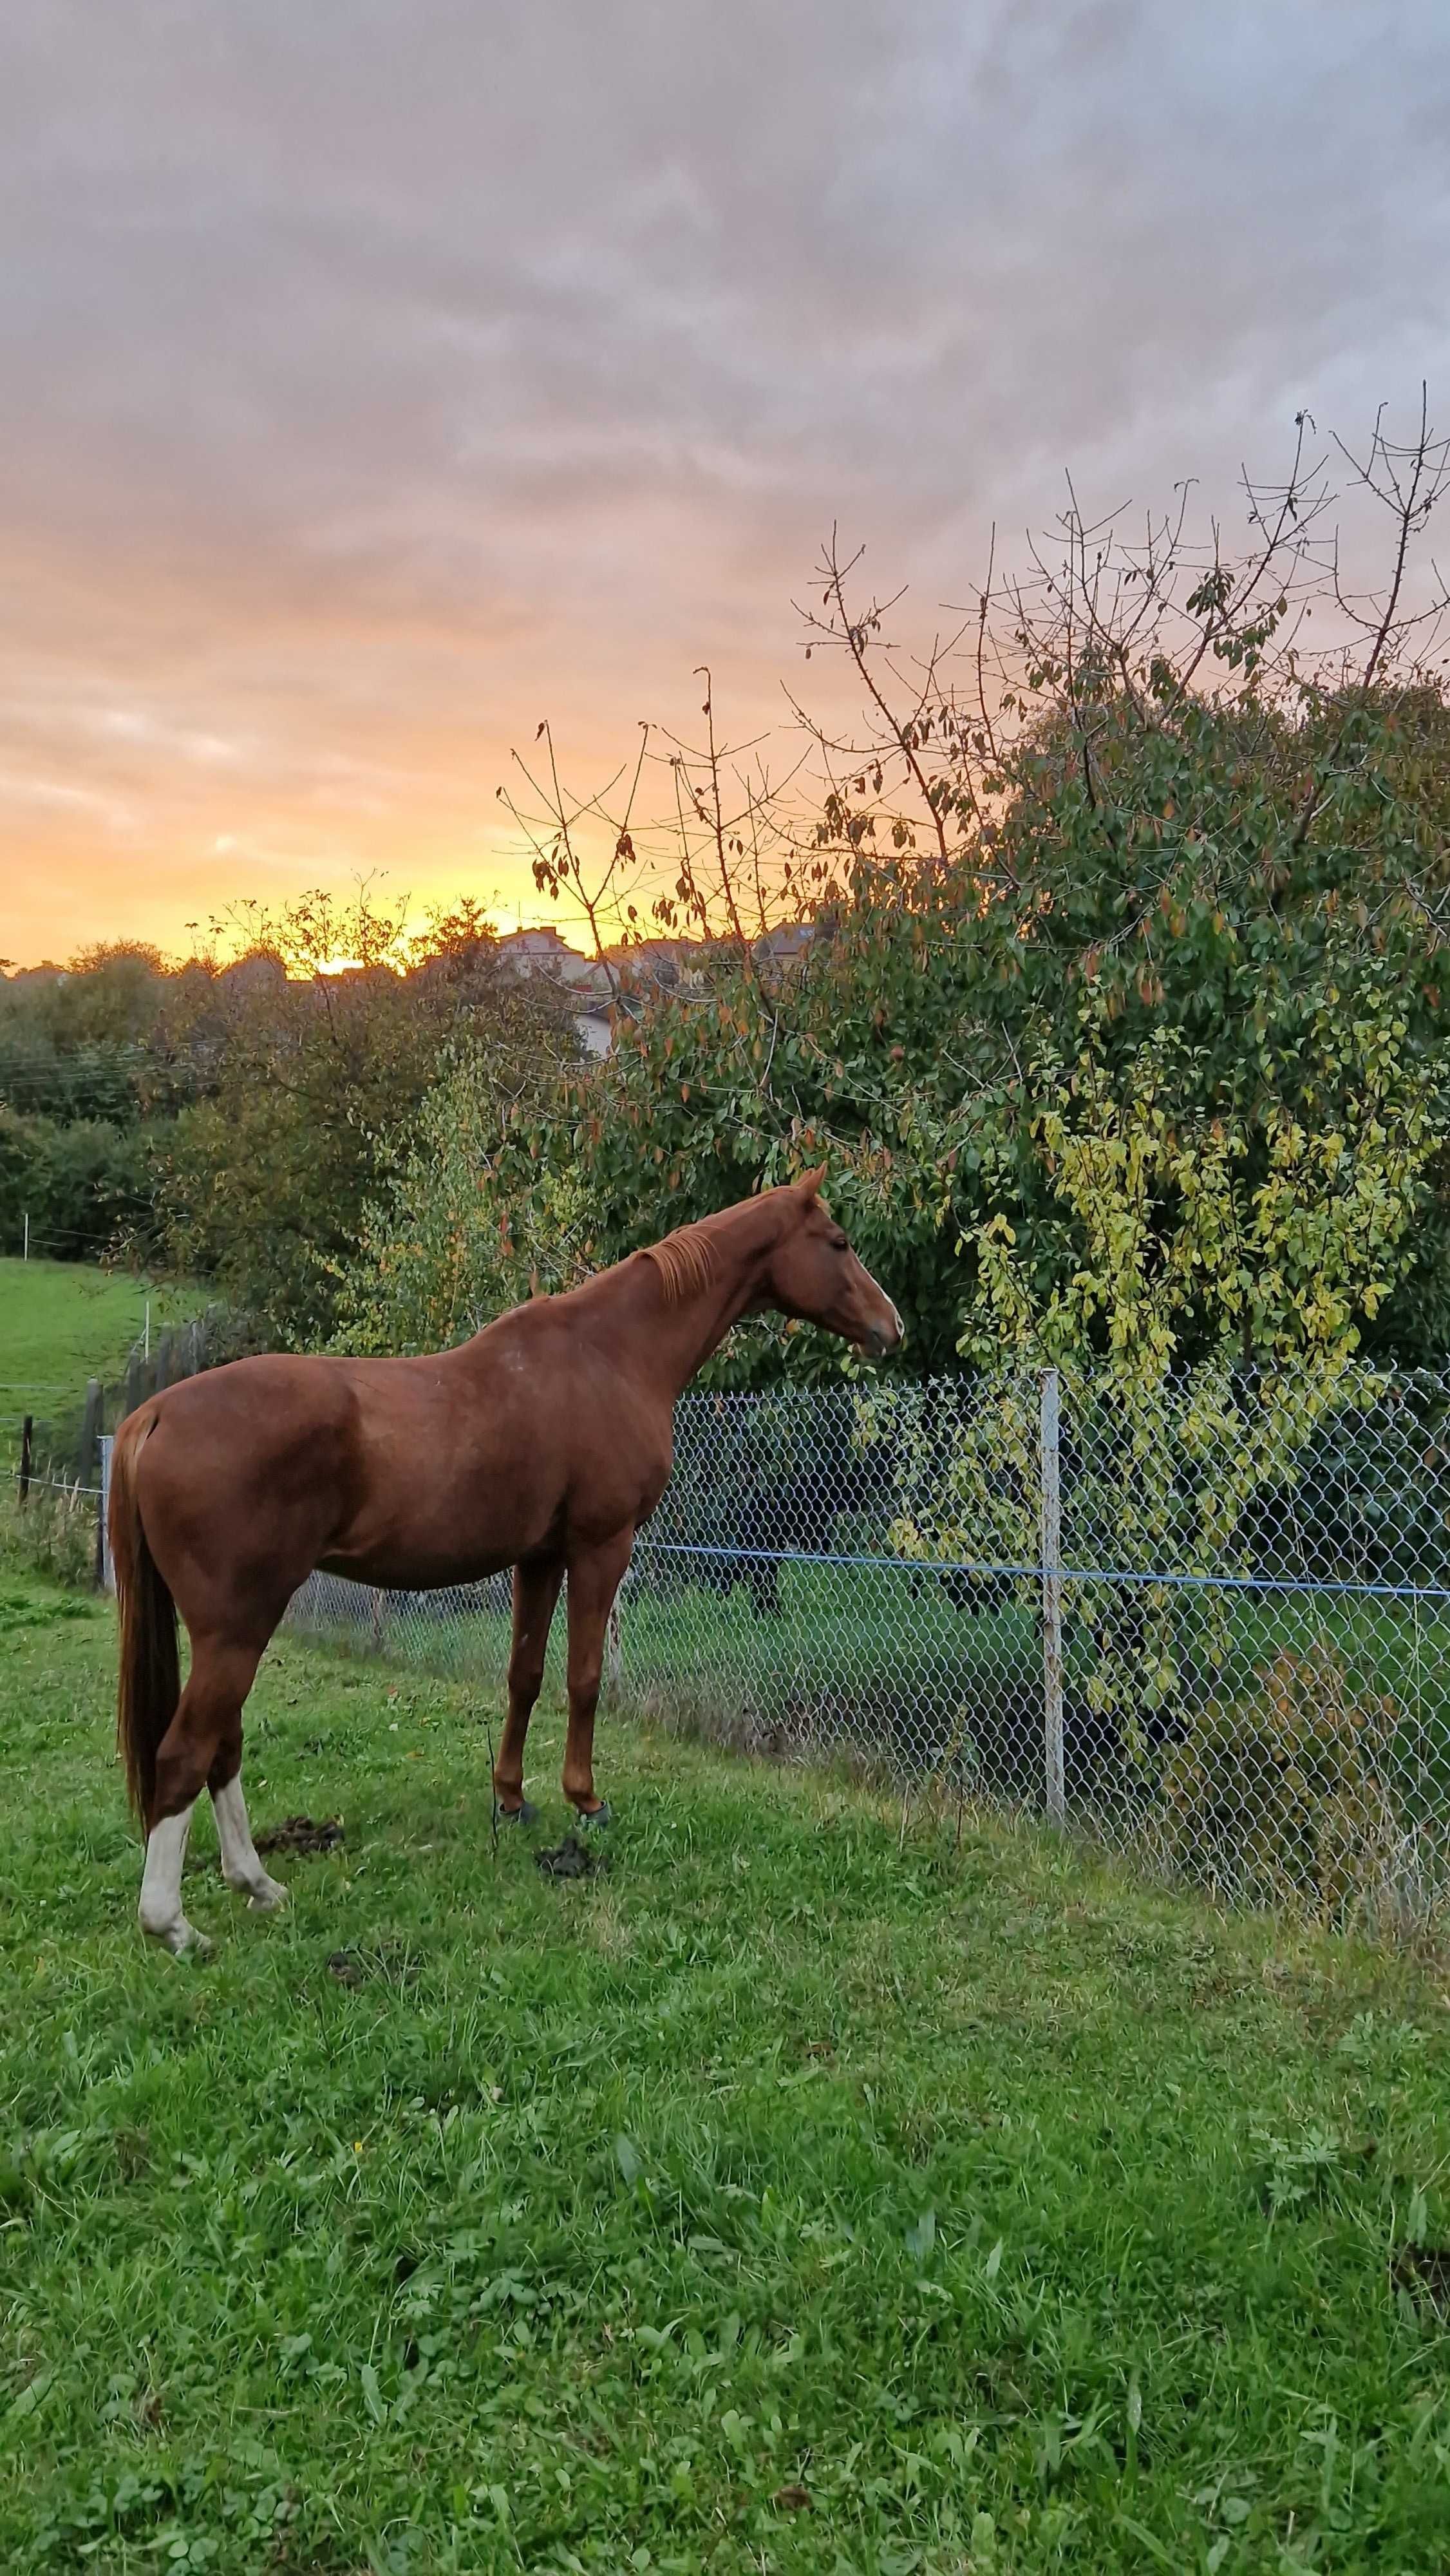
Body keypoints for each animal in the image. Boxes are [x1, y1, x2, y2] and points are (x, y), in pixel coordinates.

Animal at [113, 1170, 901, 1947]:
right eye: (838, 1241)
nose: (890, 1327)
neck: (611, 1353)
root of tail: (156, 1413)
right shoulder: (599, 1548)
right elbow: (584, 1677)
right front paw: (585, 1799)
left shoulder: (540, 1558)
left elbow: (524, 1676)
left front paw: (513, 1798)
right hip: (238, 1627)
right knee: (186, 1752)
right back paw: (171, 1923)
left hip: (230, 1631)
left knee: (222, 1747)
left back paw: (257, 1884)